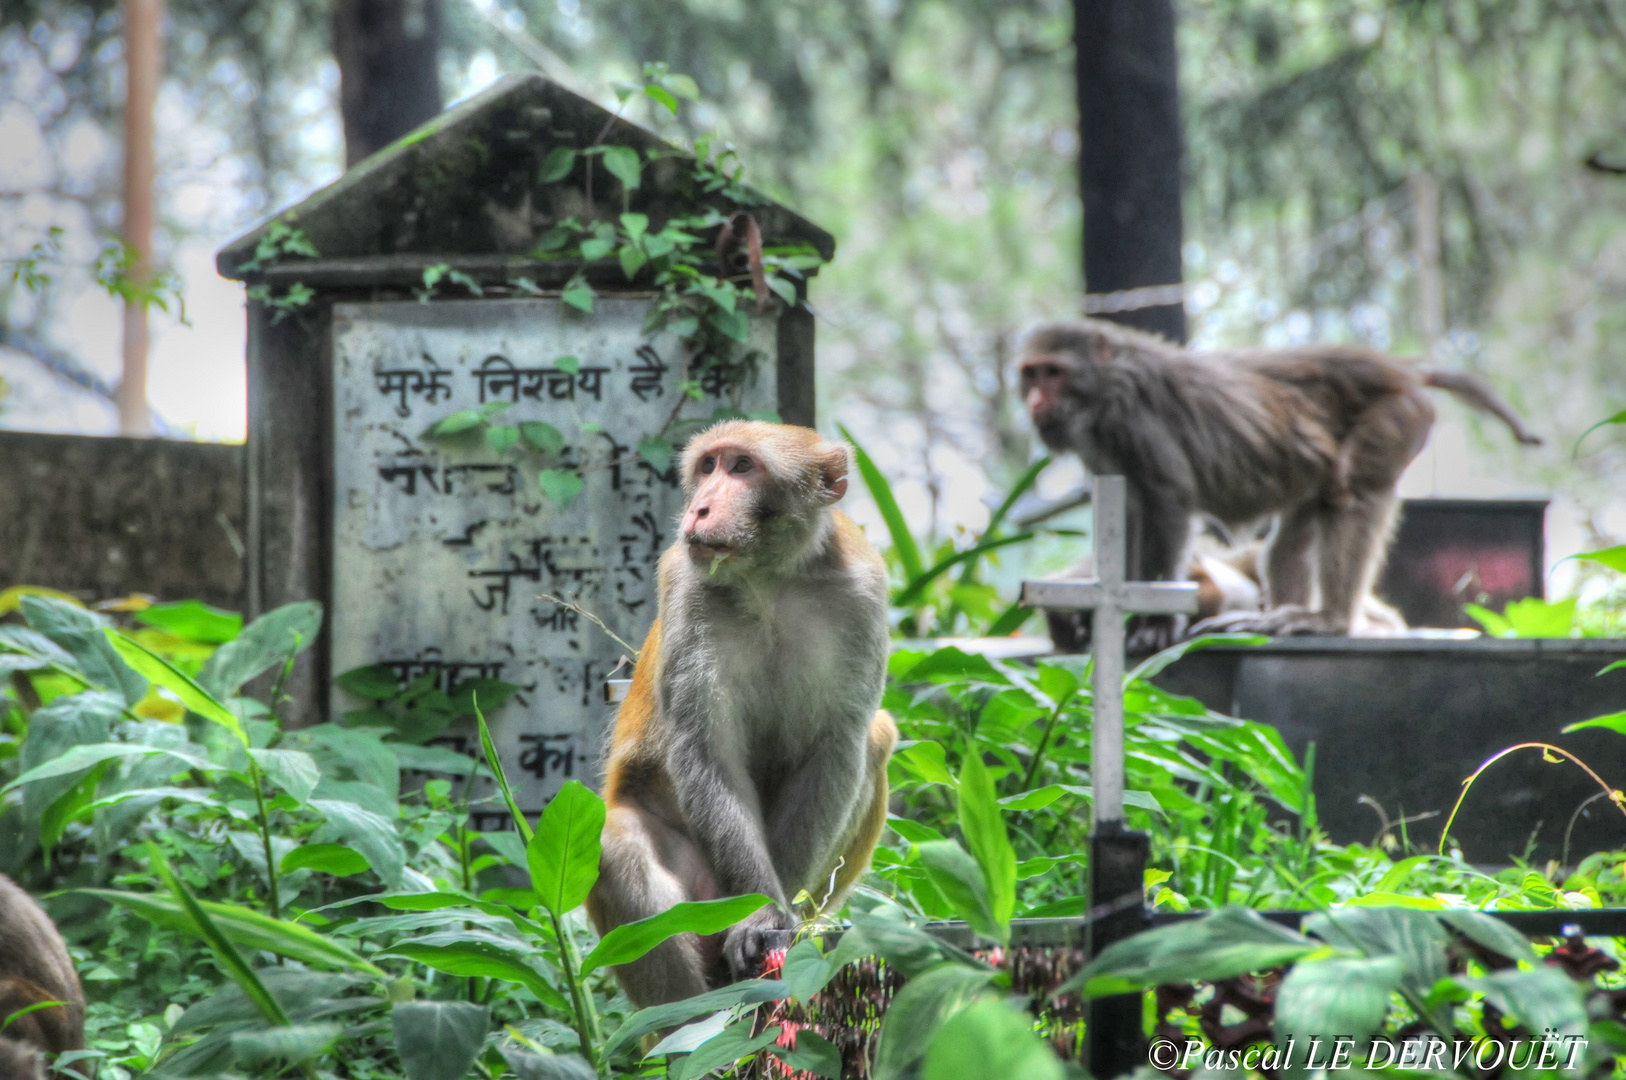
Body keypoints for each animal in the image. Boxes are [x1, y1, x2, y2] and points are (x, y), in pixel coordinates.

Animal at [588, 419, 897, 1001]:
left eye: (743, 467)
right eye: (708, 466)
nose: (700, 508)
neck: (769, 575)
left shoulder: (863, 592)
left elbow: (837, 744)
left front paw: (772, 918)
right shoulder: (685, 588)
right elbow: (705, 749)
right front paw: (760, 910)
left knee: (875, 739)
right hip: (699, 901)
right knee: (612, 843)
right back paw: (689, 1019)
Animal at [1021, 317, 1541, 644]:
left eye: (1053, 372)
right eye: (1030, 374)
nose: (1033, 401)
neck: (1104, 387)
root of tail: (1398, 367)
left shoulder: (1133, 422)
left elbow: (1166, 503)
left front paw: (1153, 623)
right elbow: (1127, 511)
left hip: (1396, 414)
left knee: (1350, 494)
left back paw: (1331, 621)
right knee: (1300, 523)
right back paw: (1271, 618)